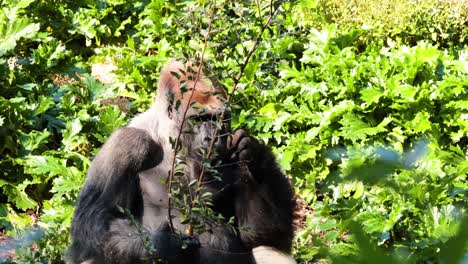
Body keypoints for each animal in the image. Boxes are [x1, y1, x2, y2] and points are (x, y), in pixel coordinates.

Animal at [66, 60, 294, 264]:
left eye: (220, 119)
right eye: (200, 119)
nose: (212, 138)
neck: (170, 139)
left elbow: (261, 234)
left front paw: (254, 155)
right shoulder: (126, 143)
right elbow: (97, 222)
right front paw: (165, 244)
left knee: (269, 248)